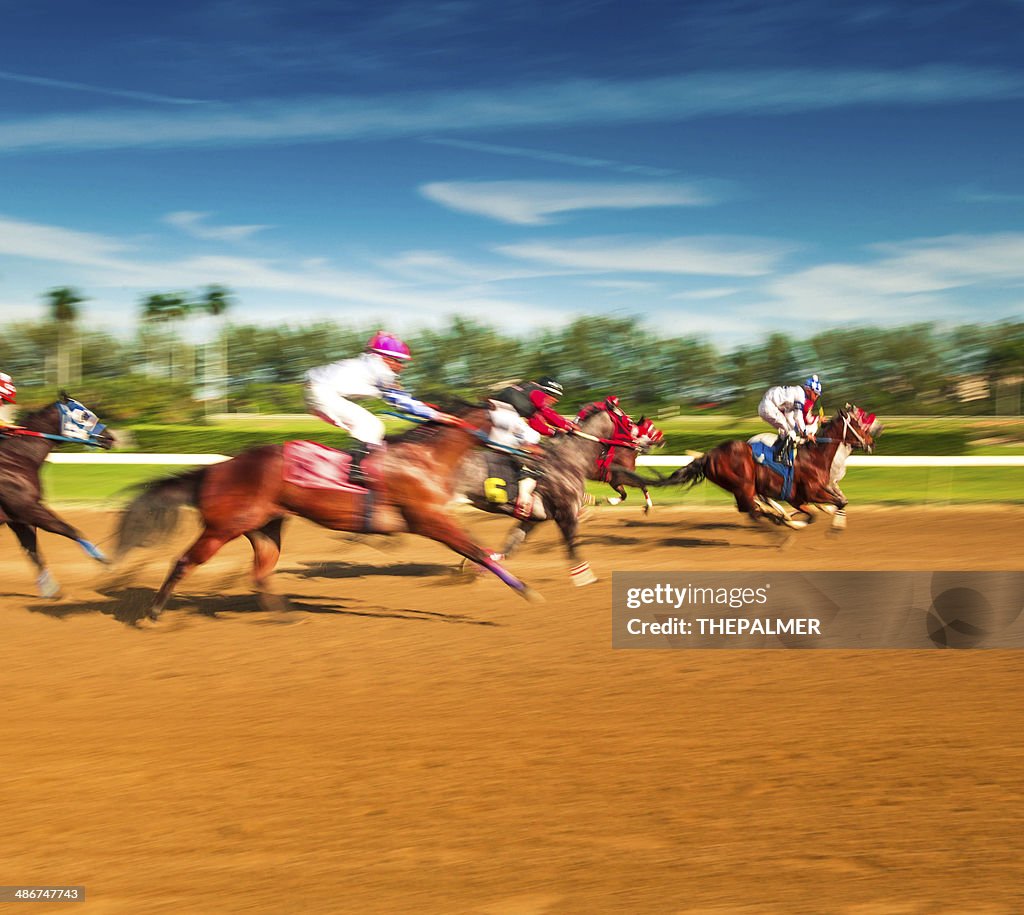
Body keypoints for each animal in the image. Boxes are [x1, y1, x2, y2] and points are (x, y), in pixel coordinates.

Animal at [0, 395, 116, 601]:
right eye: (84, 415)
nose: (110, 437)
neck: (16, 458)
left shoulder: (18, 517)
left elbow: (32, 549)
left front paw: (49, 590)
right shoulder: (27, 508)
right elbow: (69, 529)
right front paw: (102, 559)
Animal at [115, 403, 540, 622]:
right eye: (517, 424)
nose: (538, 445)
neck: (427, 458)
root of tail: (214, 469)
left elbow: (476, 551)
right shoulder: (430, 519)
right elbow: (477, 550)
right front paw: (528, 591)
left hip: (265, 527)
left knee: (260, 572)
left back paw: (285, 615)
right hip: (224, 527)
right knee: (184, 561)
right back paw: (153, 613)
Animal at [663, 407, 880, 532]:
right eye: (859, 425)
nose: (871, 442)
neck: (815, 457)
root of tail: (709, 455)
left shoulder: (802, 495)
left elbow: (830, 505)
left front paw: (789, 519)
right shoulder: (812, 492)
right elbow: (836, 504)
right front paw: (833, 524)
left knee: (752, 505)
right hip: (743, 483)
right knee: (750, 505)